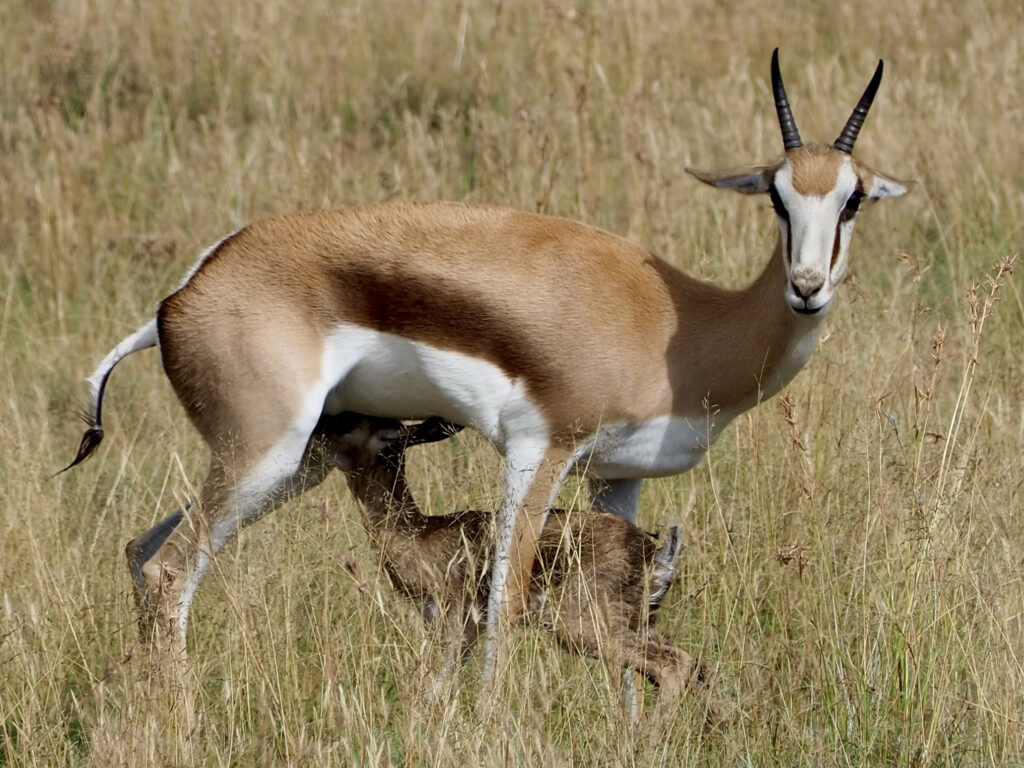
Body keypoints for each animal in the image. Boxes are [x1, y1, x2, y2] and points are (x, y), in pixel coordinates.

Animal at [64, 51, 913, 684]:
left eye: (854, 198)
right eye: (776, 194)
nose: (807, 287)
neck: (680, 323)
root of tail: (183, 293)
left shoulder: (617, 477)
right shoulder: (539, 453)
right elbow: (505, 603)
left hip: (296, 460)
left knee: (141, 553)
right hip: (263, 454)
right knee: (171, 573)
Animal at [315, 415, 716, 733]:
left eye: (349, 424)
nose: (318, 428)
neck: (418, 537)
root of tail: (658, 552)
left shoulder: (458, 620)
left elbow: (436, 684)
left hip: (584, 624)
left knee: (675, 665)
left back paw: (645, 740)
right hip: (641, 621)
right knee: (695, 663)